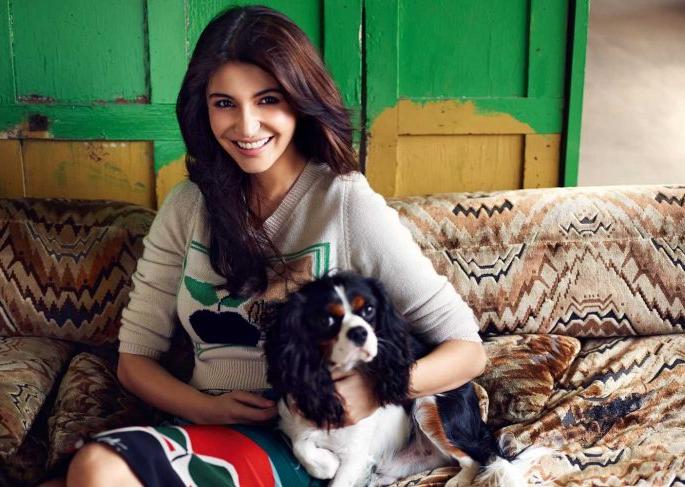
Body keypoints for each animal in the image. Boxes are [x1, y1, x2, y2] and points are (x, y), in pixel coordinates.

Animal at [264, 271, 547, 486]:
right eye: (326, 319)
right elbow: (301, 443)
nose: (359, 332)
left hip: (428, 404)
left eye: (369, 310)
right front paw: (327, 463)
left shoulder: (356, 455)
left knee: (476, 457)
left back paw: (459, 480)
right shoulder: (293, 420)